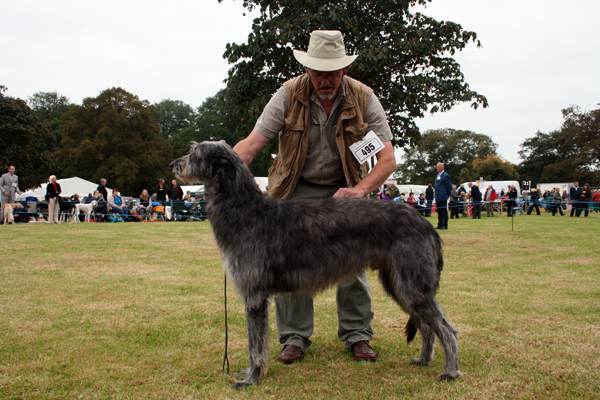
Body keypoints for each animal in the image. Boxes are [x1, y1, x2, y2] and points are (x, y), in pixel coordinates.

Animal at [171, 141, 462, 390]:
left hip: (411, 282)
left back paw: (450, 371)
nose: (174, 164)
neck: (248, 212)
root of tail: (426, 224)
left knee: (447, 329)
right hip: (398, 283)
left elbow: (256, 344)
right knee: (427, 325)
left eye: (195, 153)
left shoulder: (254, 296)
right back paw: (424, 360)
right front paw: (250, 374)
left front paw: (251, 378)